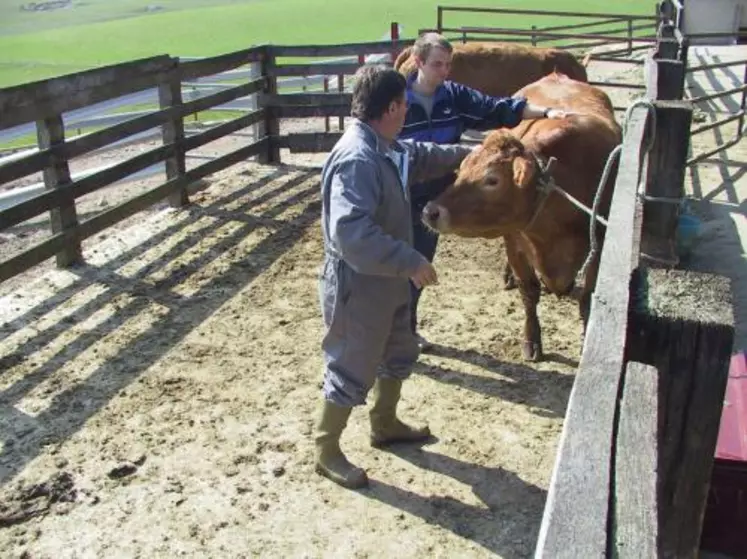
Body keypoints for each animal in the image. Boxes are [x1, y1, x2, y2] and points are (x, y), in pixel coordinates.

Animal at [424, 72, 624, 360]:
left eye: (492, 180)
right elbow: (528, 291)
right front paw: (531, 340)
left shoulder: (600, 244)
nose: (431, 211)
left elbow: (589, 299)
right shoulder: (515, 240)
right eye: (462, 169)